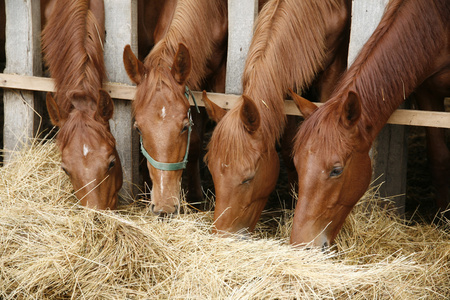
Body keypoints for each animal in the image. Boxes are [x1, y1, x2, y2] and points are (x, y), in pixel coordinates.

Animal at [203, 0, 352, 234]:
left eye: (248, 178)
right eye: (211, 171)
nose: (222, 233)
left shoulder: (333, 69)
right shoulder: (287, 91)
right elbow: (290, 149)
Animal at [290, 0, 448, 248]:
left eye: (336, 170)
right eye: (297, 164)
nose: (301, 245)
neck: (438, 19)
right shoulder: (427, 92)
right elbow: (439, 159)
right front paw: (442, 220)